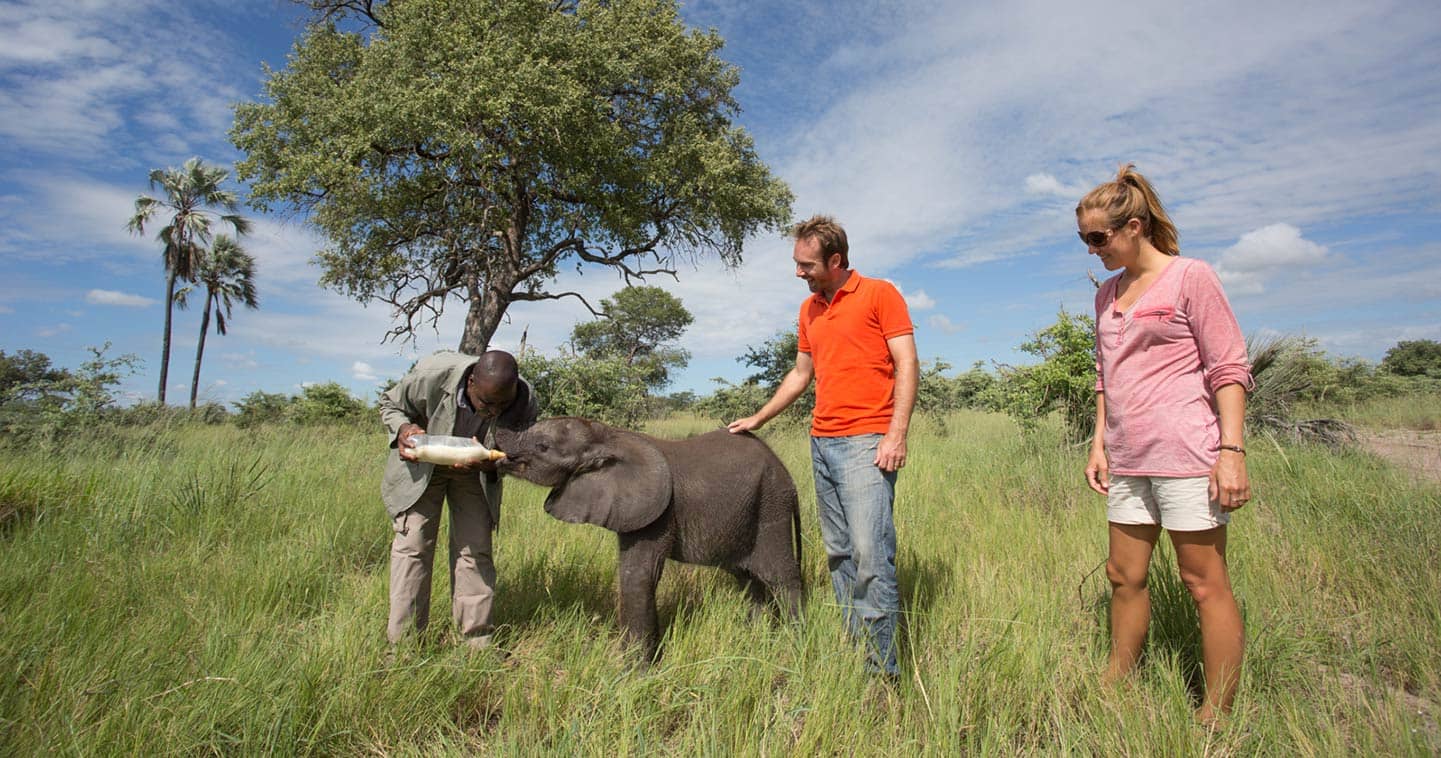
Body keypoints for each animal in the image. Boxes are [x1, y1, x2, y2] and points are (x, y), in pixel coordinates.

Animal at [498, 417, 806, 662]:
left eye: (542, 447)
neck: (608, 435)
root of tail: (788, 477)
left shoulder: (657, 512)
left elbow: (637, 575)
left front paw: (633, 673)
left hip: (771, 506)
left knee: (778, 575)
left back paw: (796, 641)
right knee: (747, 577)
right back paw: (754, 637)